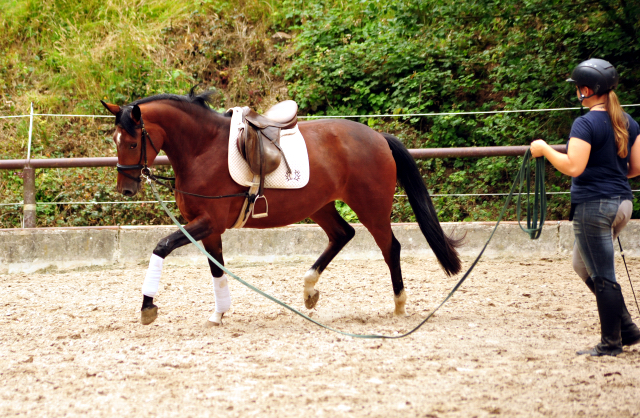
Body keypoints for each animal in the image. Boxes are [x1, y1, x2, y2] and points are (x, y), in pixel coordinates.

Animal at [101, 90, 460, 326]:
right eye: (115, 142)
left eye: (132, 142)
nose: (126, 189)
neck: (203, 149)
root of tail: (379, 136)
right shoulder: (208, 228)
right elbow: (217, 268)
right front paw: (219, 313)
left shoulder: (207, 222)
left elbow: (161, 247)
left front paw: (148, 307)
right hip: (320, 205)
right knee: (342, 234)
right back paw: (309, 290)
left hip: (370, 207)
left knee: (390, 247)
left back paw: (399, 306)